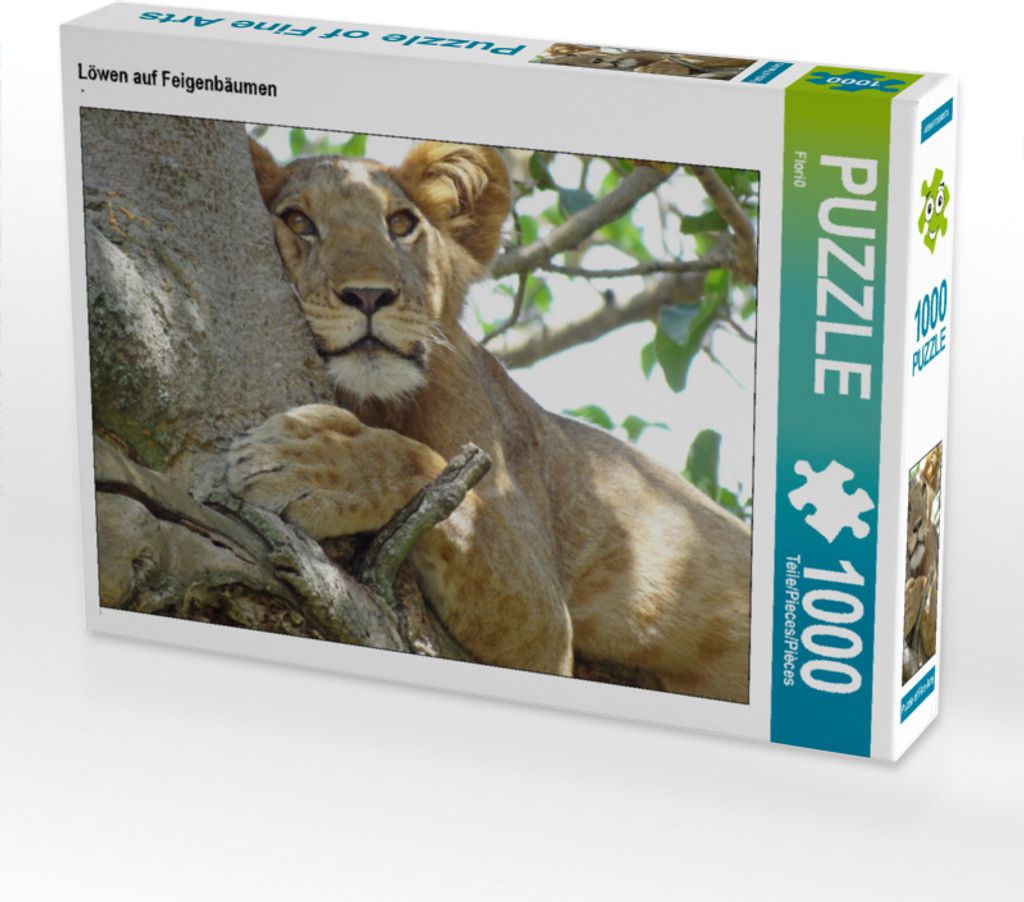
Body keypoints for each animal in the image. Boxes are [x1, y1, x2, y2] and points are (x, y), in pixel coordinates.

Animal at [228, 138, 752, 703]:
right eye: (298, 220)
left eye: (400, 223)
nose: (369, 296)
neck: (375, 402)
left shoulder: (546, 624)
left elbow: (421, 465)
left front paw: (304, 462)